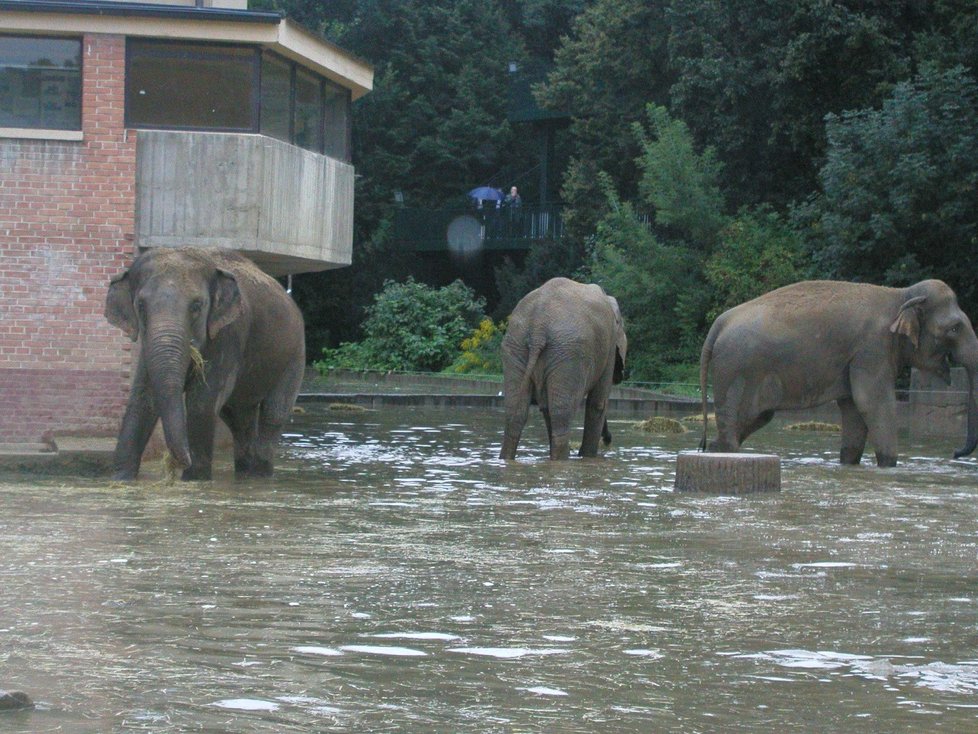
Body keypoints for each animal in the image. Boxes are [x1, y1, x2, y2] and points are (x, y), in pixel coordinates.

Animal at [104, 247, 304, 484]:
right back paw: (245, 474)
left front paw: (194, 480)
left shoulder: (229, 333)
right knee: (239, 417)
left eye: (196, 306)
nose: (179, 461)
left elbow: (202, 402)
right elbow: (142, 398)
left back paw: (261, 475)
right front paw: (121, 480)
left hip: (294, 356)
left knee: (274, 413)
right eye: (141, 306)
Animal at [500, 278, 628, 460]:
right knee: (562, 416)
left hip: (516, 346)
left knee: (516, 413)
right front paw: (587, 457)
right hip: (569, 353)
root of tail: (538, 326)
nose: (608, 439)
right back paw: (562, 459)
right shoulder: (609, 345)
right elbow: (597, 404)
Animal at [696, 278, 976, 468]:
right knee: (736, 425)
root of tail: (719, 323)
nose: (954, 452)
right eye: (954, 328)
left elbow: (854, 409)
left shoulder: (857, 357)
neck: (901, 295)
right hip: (735, 371)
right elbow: (874, 403)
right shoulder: (871, 350)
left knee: (752, 420)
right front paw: (888, 465)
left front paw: (849, 464)